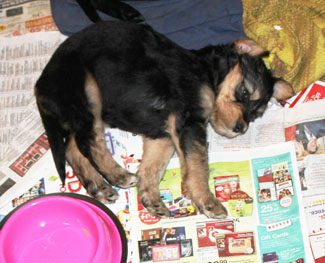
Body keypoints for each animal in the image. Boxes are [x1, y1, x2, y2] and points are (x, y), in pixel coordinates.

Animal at [34, 20, 292, 219]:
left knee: (73, 147)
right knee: (89, 142)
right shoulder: (188, 121)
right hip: (87, 91)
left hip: (82, 112)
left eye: (256, 115)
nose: (241, 128)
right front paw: (207, 201)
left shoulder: (163, 134)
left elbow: (152, 167)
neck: (206, 73)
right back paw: (118, 175)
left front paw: (151, 199)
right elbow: (198, 164)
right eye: (244, 92)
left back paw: (99, 187)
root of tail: (40, 87)